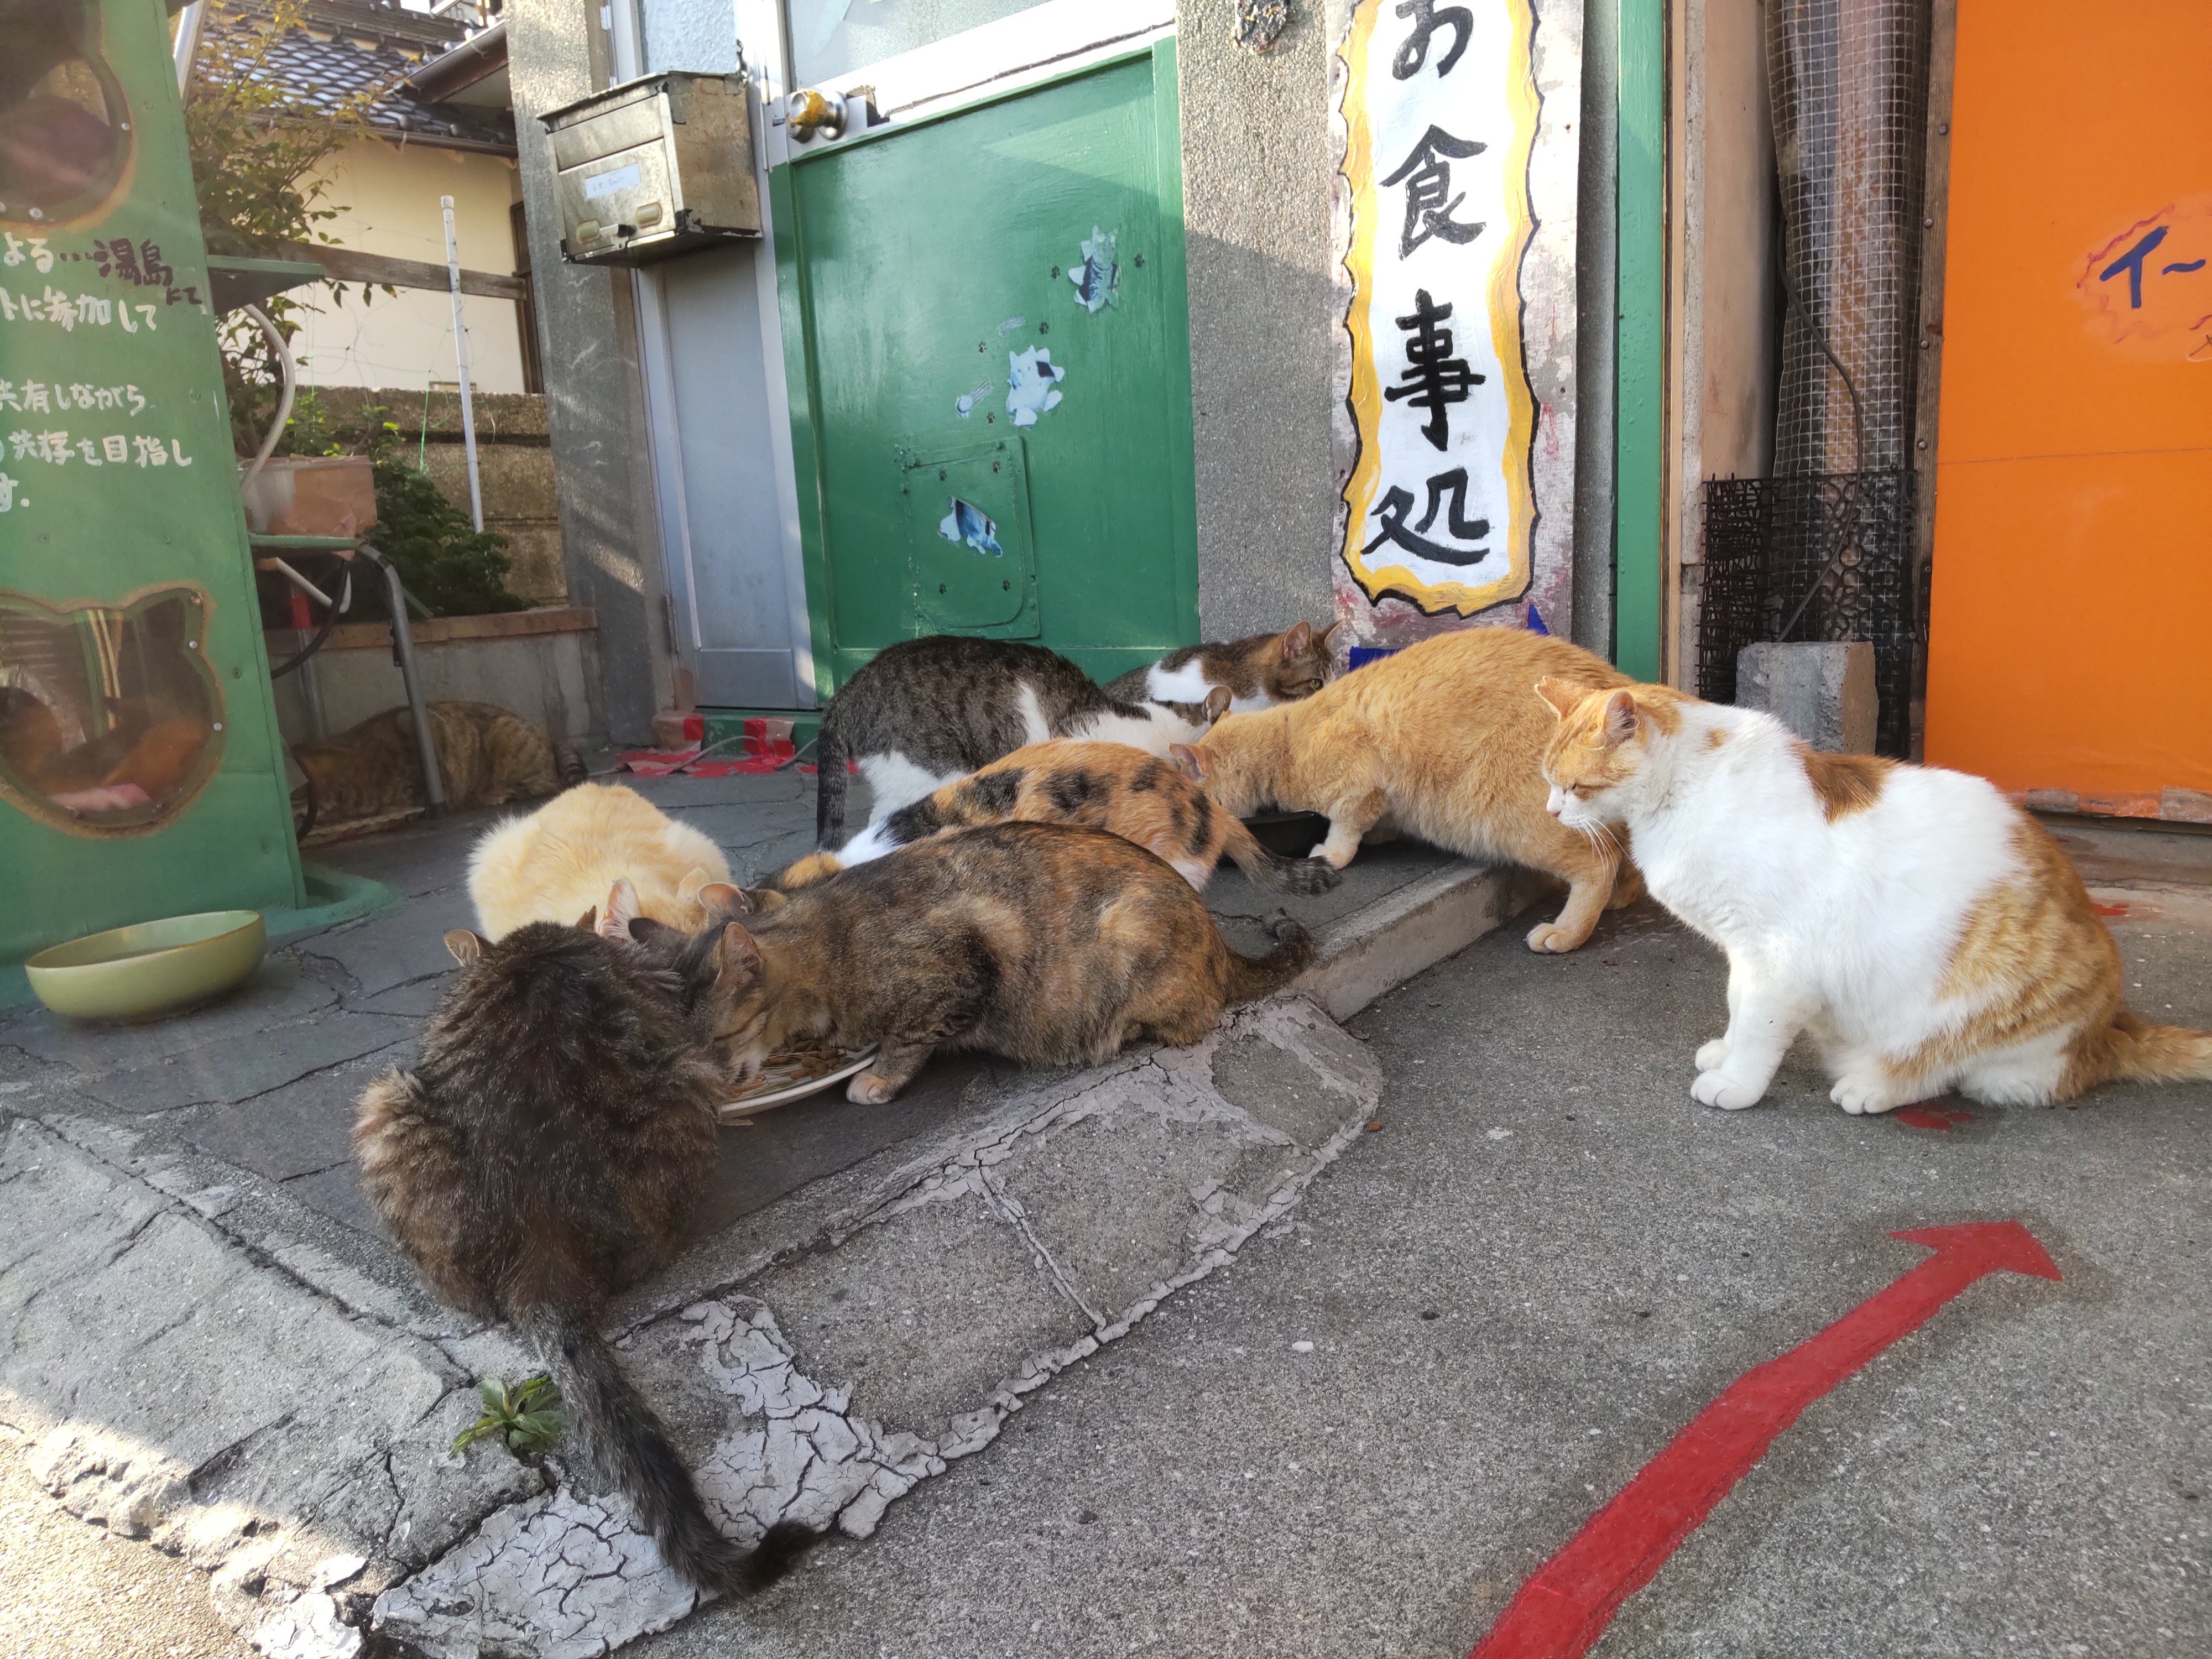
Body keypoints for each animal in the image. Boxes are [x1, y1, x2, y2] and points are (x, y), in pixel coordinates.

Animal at [657, 821, 1315, 1105]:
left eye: (718, 1040)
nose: (715, 1086)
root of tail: (1217, 940)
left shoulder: (965, 964)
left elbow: (909, 1037)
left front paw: (877, 1078)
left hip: (1129, 929)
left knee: (1190, 1020)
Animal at [1173, 626, 1639, 952]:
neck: (1285, 739)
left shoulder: (1358, 785)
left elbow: (1344, 829)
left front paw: (1334, 853)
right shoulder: (1378, 797)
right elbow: (1377, 820)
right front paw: (1382, 833)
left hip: (1519, 822)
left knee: (1599, 864)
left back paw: (1567, 931)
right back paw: (1621, 898)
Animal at [1539, 681, 2212, 1112]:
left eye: (1574, 787)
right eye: (1547, 781)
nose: (1550, 811)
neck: (1682, 794)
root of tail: (2109, 1029)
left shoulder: (1778, 959)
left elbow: (1759, 1026)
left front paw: (1738, 1082)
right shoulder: (1742, 949)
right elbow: (1738, 1006)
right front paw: (1725, 1053)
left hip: (1984, 1031)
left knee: (1942, 1071)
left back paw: (1871, 1087)